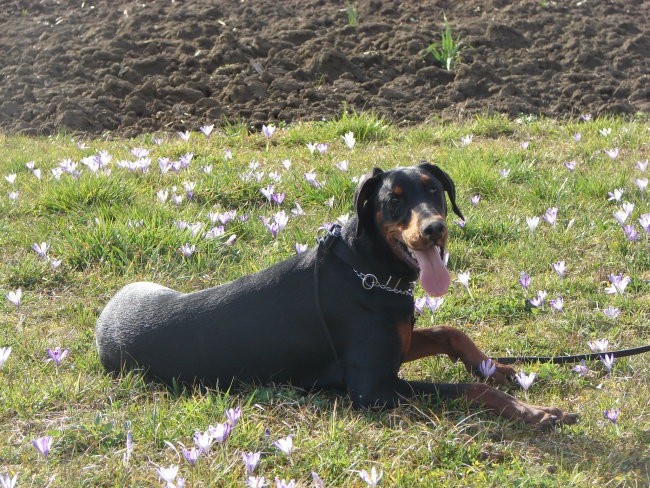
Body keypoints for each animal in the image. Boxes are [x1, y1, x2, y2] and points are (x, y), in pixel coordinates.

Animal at [93, 163, 576, 428]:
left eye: (434, 189)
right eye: (394, 200)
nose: (435, 228)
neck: (368, 271)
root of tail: (104, 318)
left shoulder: (397, 345)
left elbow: (449, 331)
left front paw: (501, 369)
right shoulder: (373, 388)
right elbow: (466, 389)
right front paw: (534, 411)